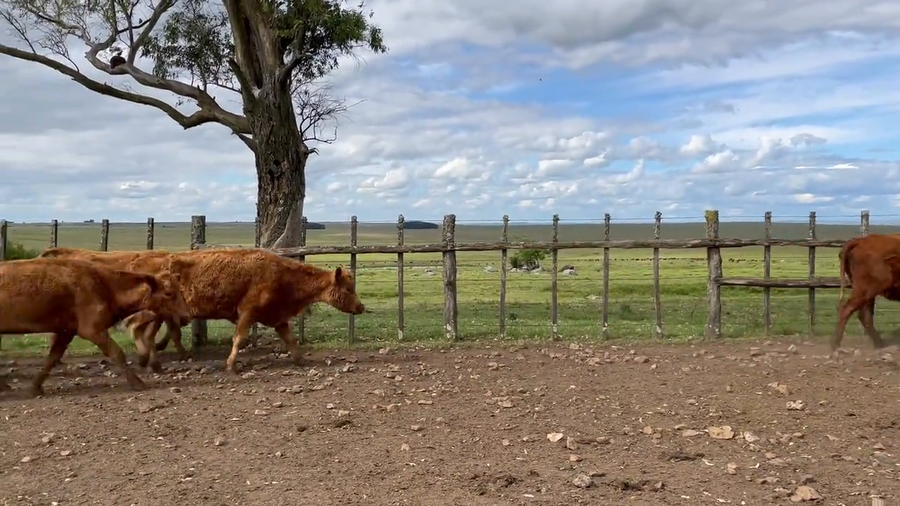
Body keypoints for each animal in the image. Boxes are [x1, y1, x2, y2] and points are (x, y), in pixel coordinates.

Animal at [0, 257, 191, 396]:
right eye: (169, 293)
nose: (185, 316)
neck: (105, 285)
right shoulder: (92, 330)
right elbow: (117, 353)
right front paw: (138, 383)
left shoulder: (67, 332)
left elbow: (52, 358)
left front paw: (35, 387)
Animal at [121, 248, 365, 373]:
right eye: (348, 288)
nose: (361, 307)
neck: (283, 275)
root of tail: (138, 261)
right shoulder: (247, 313)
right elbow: (240, 339)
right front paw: (230, 366)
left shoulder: (278, 318)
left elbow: (290, 339)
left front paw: (300, 360)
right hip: (154, 313)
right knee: (138, 328)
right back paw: (149, 361)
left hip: (158, 315)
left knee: (149, 333)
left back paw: (154, 362)